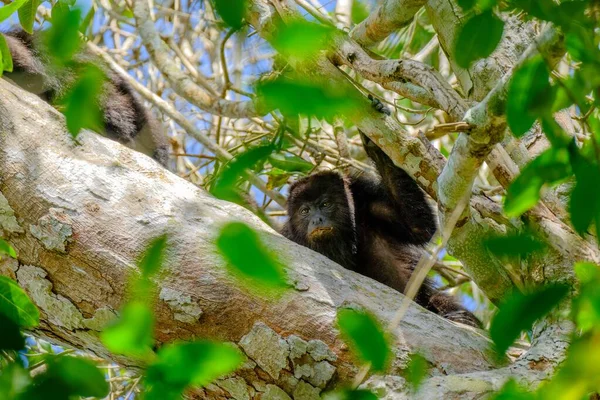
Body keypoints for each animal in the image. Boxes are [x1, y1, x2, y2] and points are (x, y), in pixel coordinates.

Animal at [282, 99, 482, 328]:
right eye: (305, 210)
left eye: (325, 204)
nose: (317, 218)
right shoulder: (288, 236)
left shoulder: (365, 200)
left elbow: (420, 227)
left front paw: (373, 145)